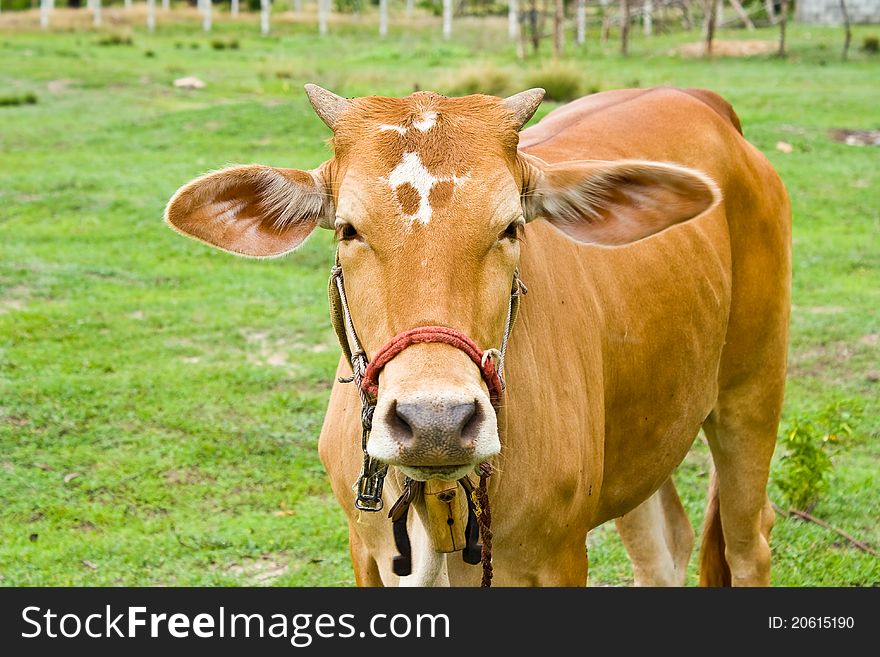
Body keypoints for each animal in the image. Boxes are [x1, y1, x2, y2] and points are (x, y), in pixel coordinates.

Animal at [167, 83, 792, 584]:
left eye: (510, 227)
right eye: (348, 229)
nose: (435, 422)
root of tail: (703, 101)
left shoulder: (558, 556)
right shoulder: (367, 553)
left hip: (752, 392)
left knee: (747, 546)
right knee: (665, 547)